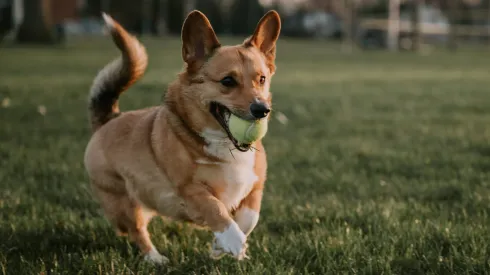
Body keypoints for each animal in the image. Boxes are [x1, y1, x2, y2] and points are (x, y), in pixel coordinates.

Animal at [83, 9, 282, 264]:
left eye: (262, 79)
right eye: (227, 81)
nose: (262, 110)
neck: (223, 144)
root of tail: (108, 119)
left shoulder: (254, 187)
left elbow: (249, 218)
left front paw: (219, 247)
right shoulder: (190, 189)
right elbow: (215, 208)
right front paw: (233, 241)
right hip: (124, 201)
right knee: (137, 231)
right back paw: (155, 259)